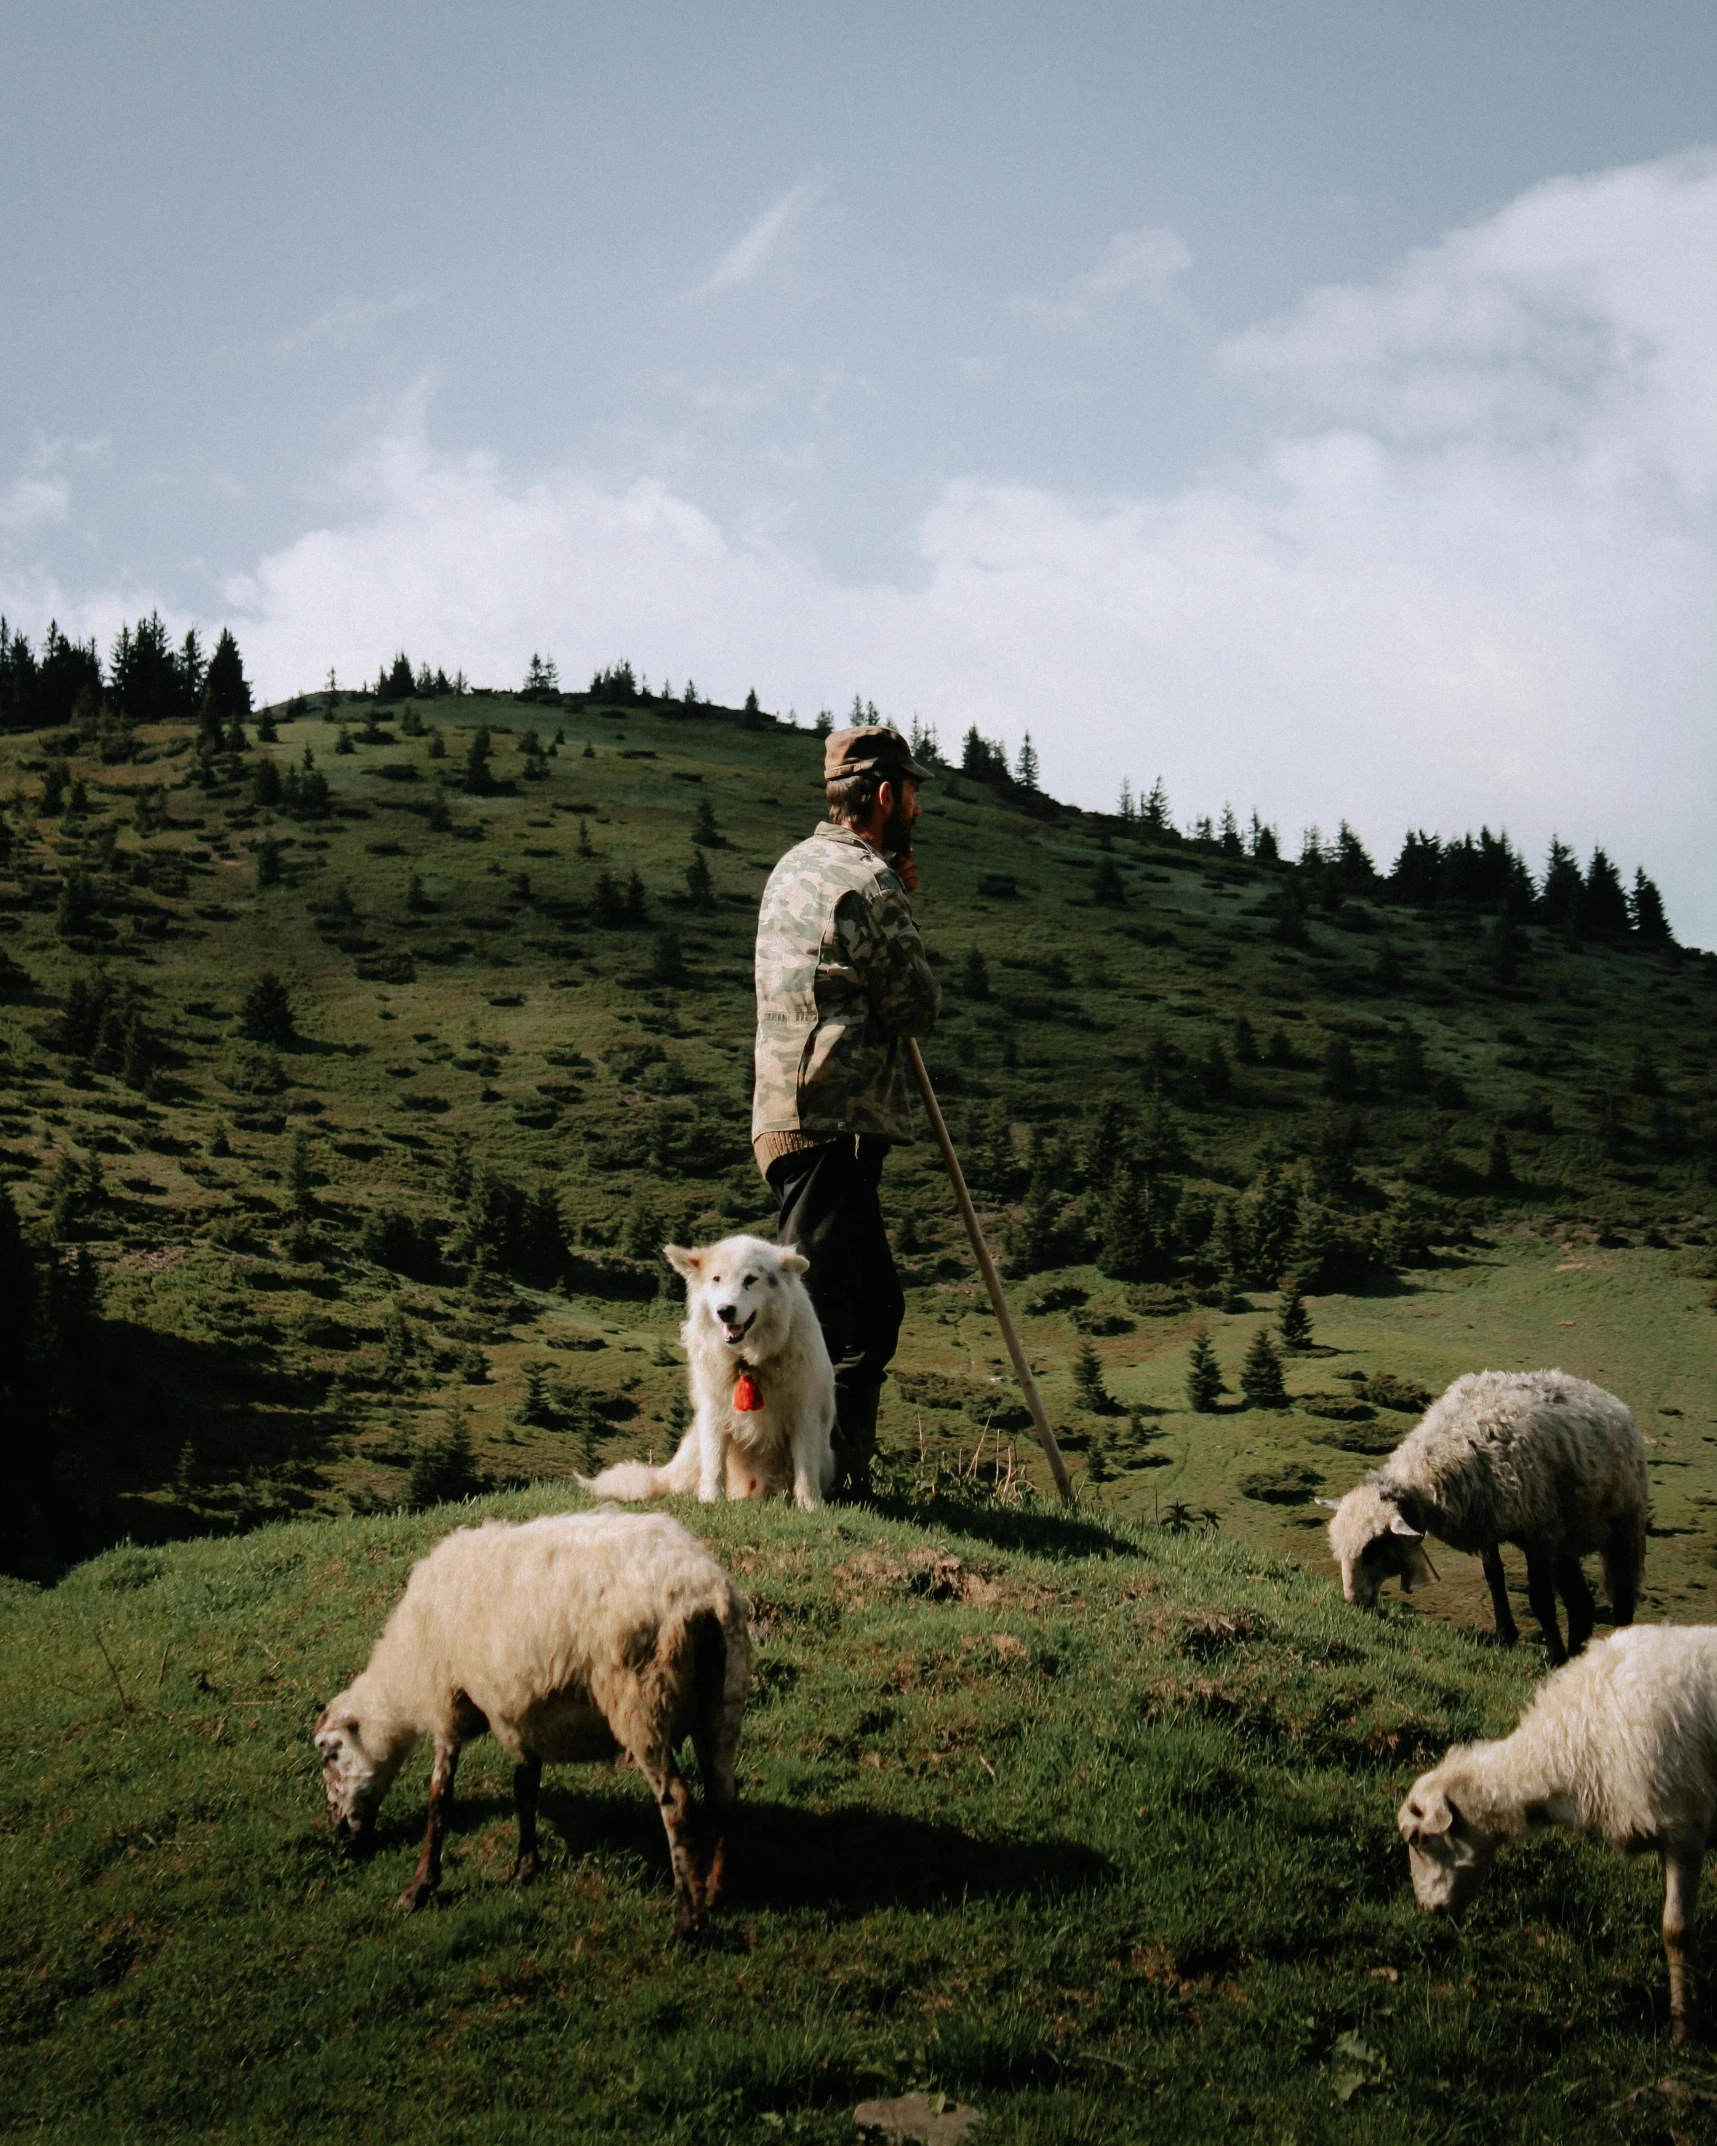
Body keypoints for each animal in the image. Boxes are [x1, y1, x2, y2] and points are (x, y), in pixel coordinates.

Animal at [315, 1502, 742, 1939]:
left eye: (328, 1753)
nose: (336, 1829)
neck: (403, 1673)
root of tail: (701, 1593)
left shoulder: (448, 1705)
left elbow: (439, 1799)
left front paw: (419, 1887)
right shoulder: (522, 1714)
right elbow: (525, 1788)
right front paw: (525, 1868)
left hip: (643, 1703)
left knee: (678, 1805)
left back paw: (688, 1920)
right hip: (722, 1703)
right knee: (723, 1795)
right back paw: (716, 1891)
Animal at [583, 1236, 837, 1519]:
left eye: (750, 1279)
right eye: (716, 1279)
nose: (725, 1310)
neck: (748, 1359)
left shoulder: (804, 1412)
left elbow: (805, 1466)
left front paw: (809, 1506)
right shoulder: (714, 1409)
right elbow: (715, 1462)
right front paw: (711, 1500)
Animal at [1322, 1364, 1639, 1665]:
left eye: (1374, 1548)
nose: (1353, 1600)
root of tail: (1603, 1397)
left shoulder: (1537, 1531)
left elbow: (1539, 1598)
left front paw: (1554, 1656)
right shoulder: (1488, 1523)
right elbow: (1494, 1578)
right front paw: (1505, 1636)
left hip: (1622, 1524)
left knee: (1621, 1595)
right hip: (1565, 1539)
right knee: (1581, 1602)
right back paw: (1577, 1652)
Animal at [1390, 1622, 1717, 2042]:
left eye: (1417, 1839)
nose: (1428, 1910)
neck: (1573, 1745)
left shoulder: (1684, 1829)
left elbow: (1676, 1932)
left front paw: (1682, 2026)